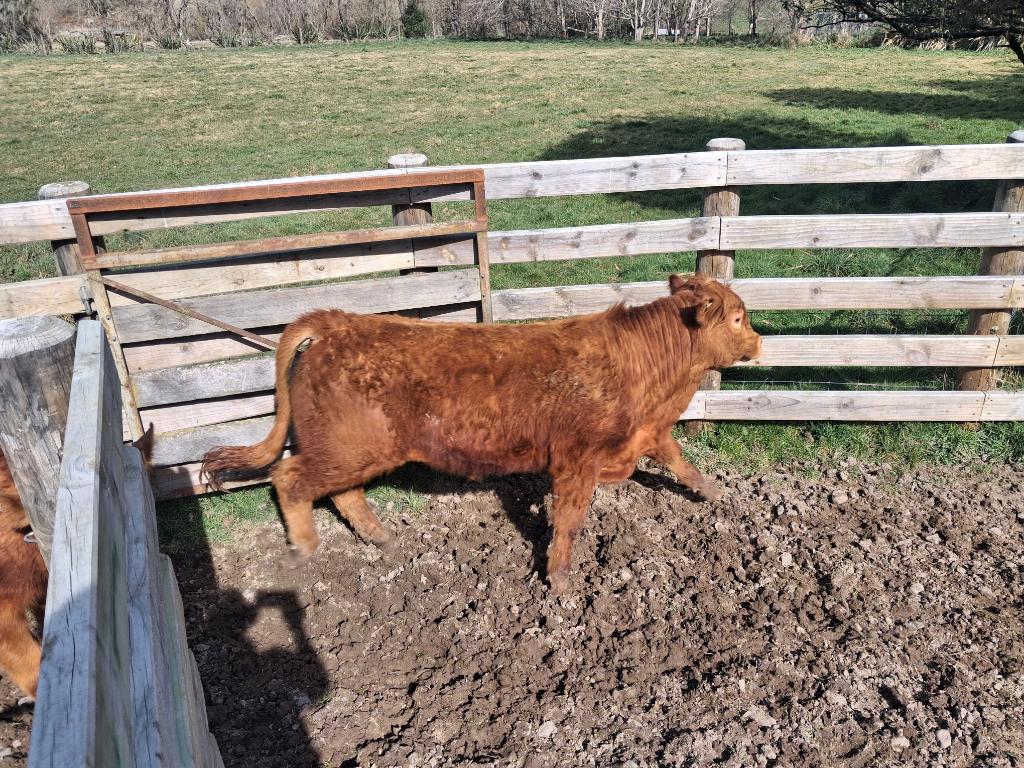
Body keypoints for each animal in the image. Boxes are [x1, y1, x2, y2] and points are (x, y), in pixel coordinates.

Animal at [201, 274, 761, 594]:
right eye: (738, 317)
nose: (758, 341)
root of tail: (337, 322)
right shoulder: (575, 459)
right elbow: (570, 520)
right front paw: (559, 580)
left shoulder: (644, 434)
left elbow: (679, 459)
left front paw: (715, 494)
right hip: (348, 446)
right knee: (291, 478)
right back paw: (304, 550)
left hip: (355, 450)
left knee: (342, 492)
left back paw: (382, 538)